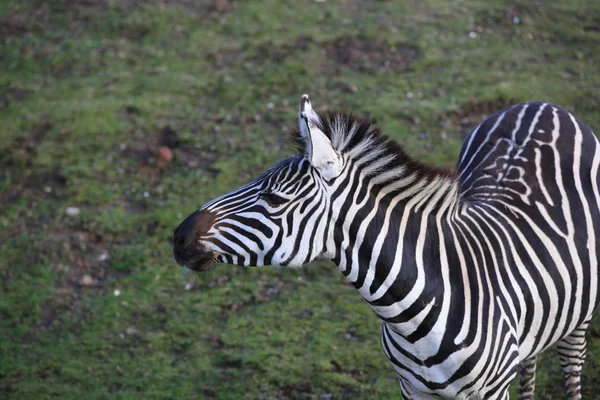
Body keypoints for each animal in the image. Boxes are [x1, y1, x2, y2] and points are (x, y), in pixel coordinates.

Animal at [171, 95, 596, 398]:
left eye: (274, 198)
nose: (178, 236)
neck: (411, 313)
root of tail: (541, 105)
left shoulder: (489, 393)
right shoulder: (413, 390)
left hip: (581, 311)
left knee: (572, 367)